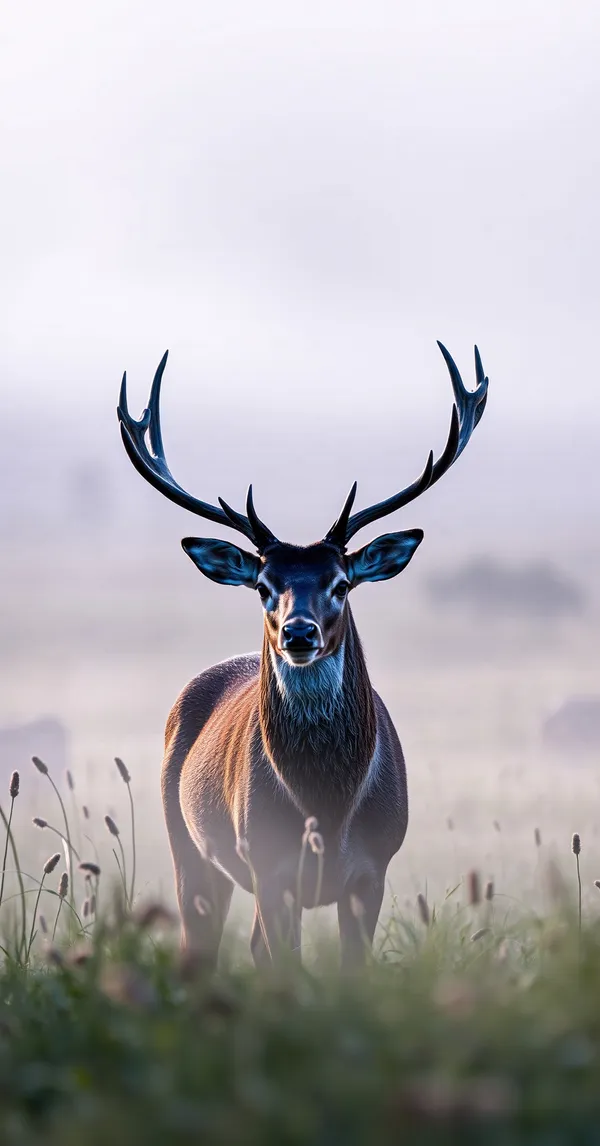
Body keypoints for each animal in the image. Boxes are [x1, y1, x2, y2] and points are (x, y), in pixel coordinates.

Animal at [118, 341, 489, 968]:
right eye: (264, 585)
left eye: (342, 582)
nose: (298, 633)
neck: (328, 811)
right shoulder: (270, 867)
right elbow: (286, 968)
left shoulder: (373, 870)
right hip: (185, 844)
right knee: (204, 944)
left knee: (248, 945)